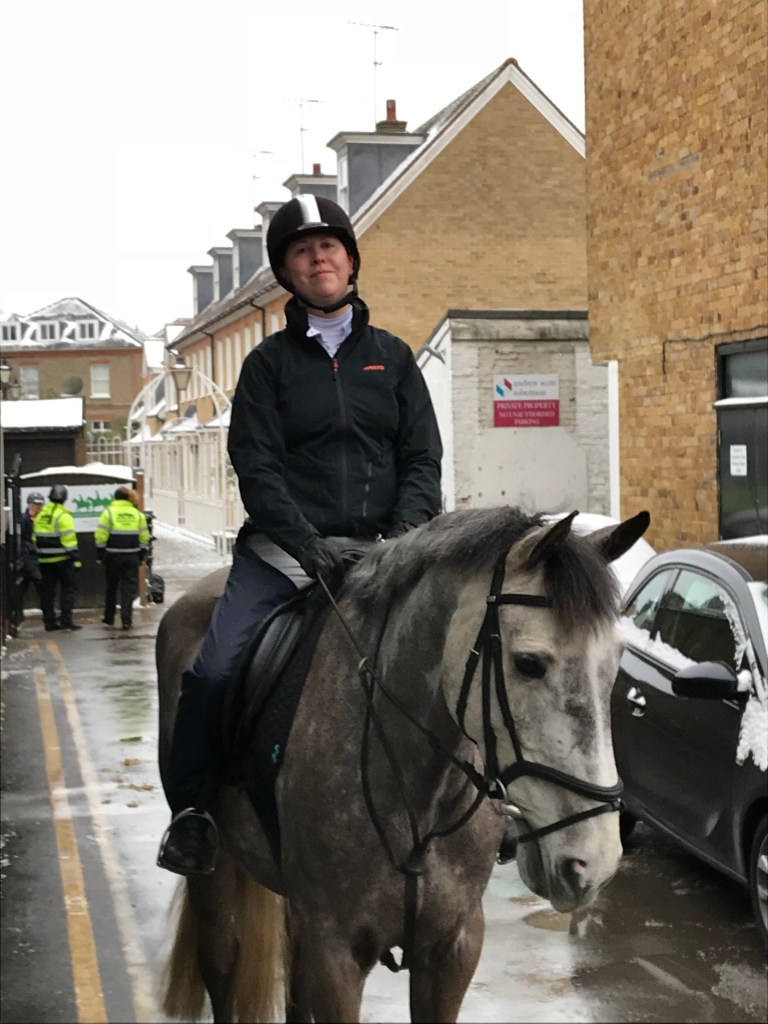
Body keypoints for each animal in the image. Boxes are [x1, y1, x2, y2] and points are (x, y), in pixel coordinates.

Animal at [156, 505, 650, 1023]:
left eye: (616, 660)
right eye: (529, 663)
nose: (592, 863)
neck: (418, 801)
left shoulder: (454, 948)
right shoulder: (335, 955)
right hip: (215, 875)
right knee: (222, 964)